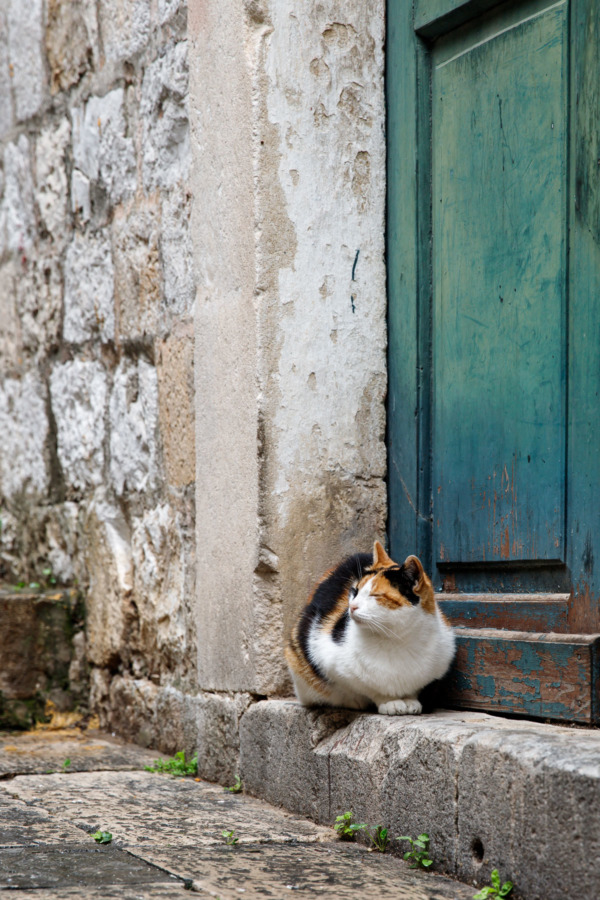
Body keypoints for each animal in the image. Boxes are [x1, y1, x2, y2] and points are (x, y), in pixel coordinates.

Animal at [286, 540, 454, 716]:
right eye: (355, 591)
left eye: (375, 595)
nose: (351, 606)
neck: (396, 638)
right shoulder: (325, 653)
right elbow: (367, 688)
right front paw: (389, 702)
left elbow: (413, 689)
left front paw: (410, 701)